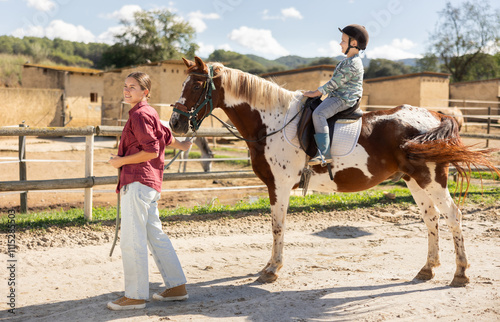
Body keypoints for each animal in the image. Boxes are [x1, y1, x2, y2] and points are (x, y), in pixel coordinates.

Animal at [170, 57, 498, 286]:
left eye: (197, 86)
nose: (175, 123)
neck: (272, 121)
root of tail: (437, 114)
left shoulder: (278, 186)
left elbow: (277, 227)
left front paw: (271, 270)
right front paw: (271, 267)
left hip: (432, 180)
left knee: (453, 216)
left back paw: (460, 274)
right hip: (415, 181)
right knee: (431, 219)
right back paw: (428, 269)